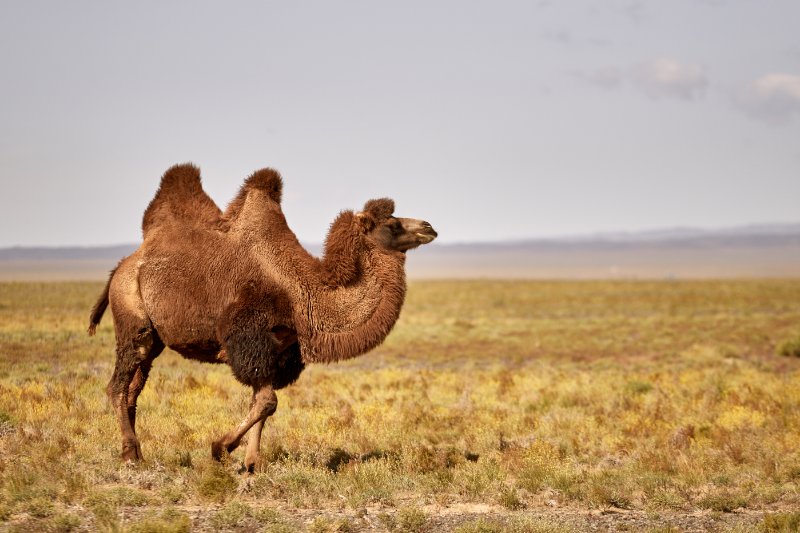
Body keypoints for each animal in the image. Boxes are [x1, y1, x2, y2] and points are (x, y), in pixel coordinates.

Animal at [88, 163, 437, 472]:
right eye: (392, 224)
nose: (429, 226)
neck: (300, 293)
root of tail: (121, 266)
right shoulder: (250, 341)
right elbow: (268, 401)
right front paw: (221, 448)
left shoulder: (279, 350)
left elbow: (262, 403)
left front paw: (252, 463)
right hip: (133, 319)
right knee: (118, 384)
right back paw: (129, 455)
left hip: (155, 338)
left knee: (134, 387)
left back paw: (136, 452)